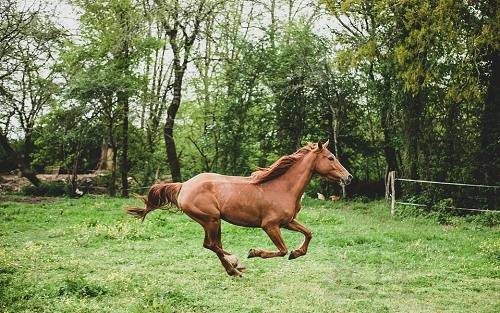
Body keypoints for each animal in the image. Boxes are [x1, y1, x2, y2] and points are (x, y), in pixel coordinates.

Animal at [126, 141, 352, 276]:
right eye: (331, 158)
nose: (348, 177)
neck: (282, 187)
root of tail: (184, 186)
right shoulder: (270, 226)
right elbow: (281, 250)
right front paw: (254, 252)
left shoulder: (287, 222)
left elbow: (309, 233)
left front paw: (297, 253)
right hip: (211, 219)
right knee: (212, 245)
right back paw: (234, 268)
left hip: (213, 222)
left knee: (213, 245)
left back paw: (234, 265)